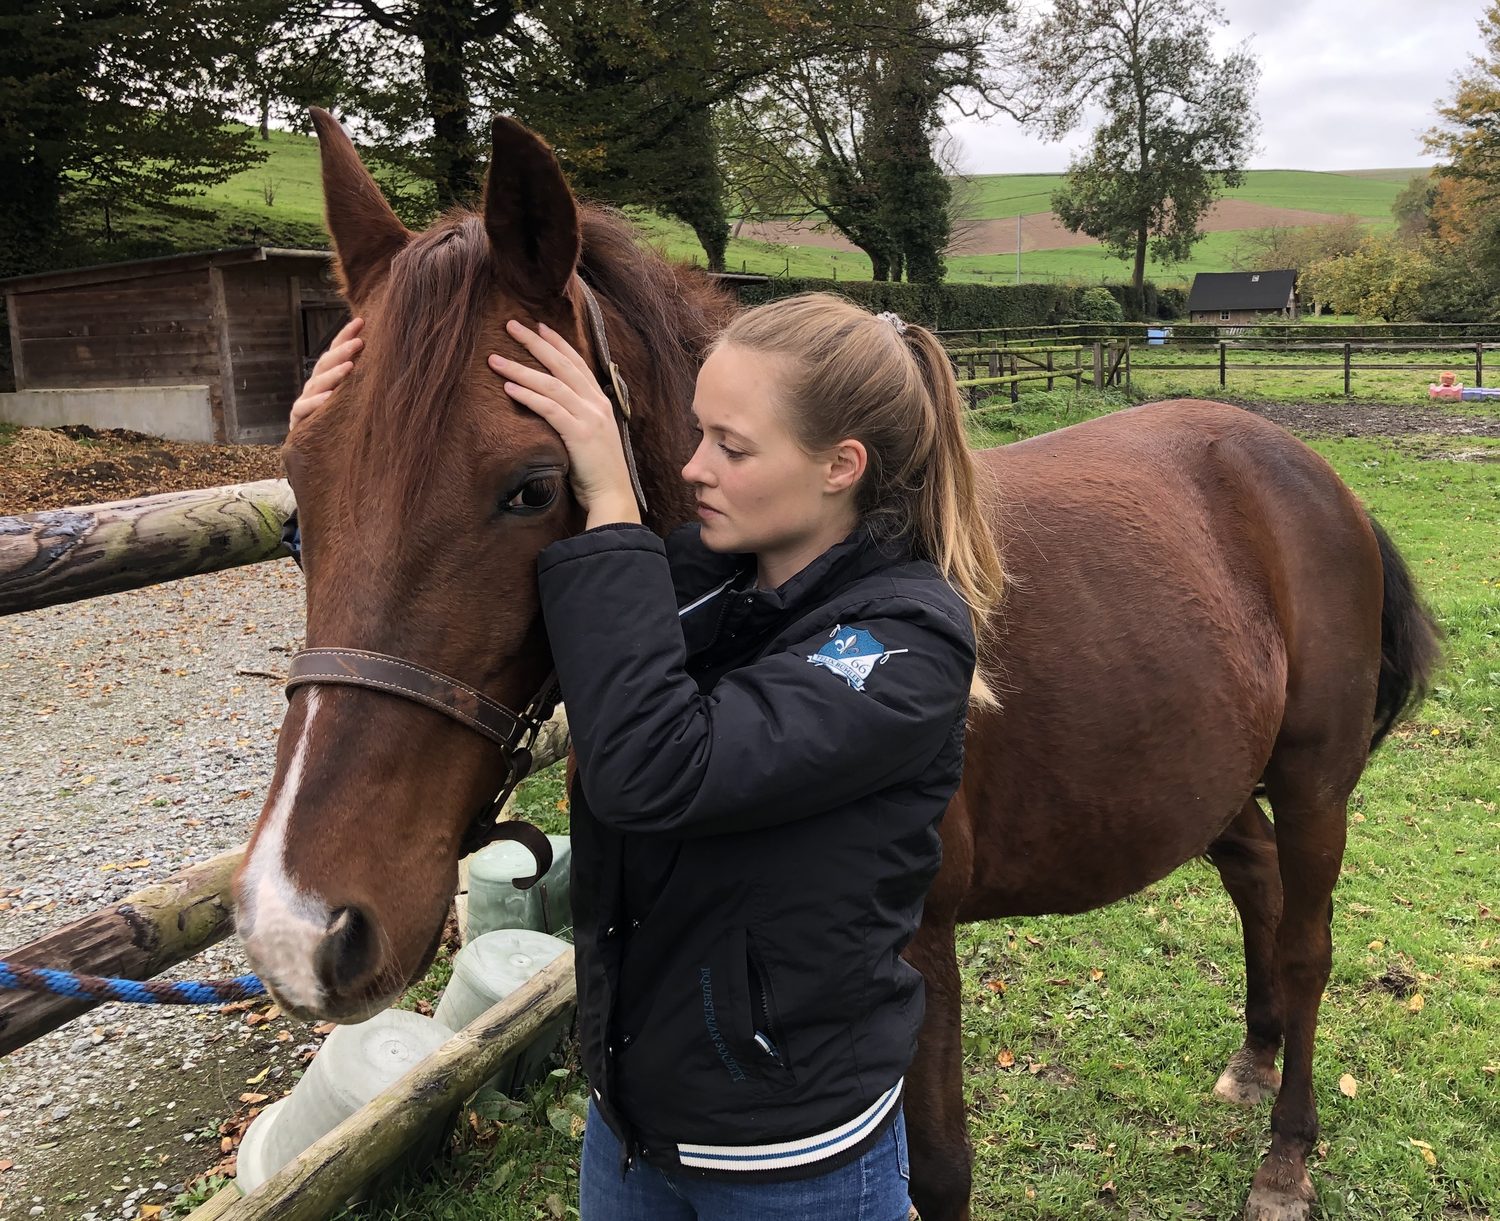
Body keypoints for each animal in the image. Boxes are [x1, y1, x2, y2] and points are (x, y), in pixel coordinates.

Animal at [233, 110, 1440, 1221]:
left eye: (532, 485)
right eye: (299, 488)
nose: (297, 926)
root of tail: (1300, 469)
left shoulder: (921, 948)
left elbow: (941, 1174)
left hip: (1314, 779)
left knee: (1308, 941)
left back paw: (1287, 1153)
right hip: (1203, 773)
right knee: (1255, 879)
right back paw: (1253, 1058)